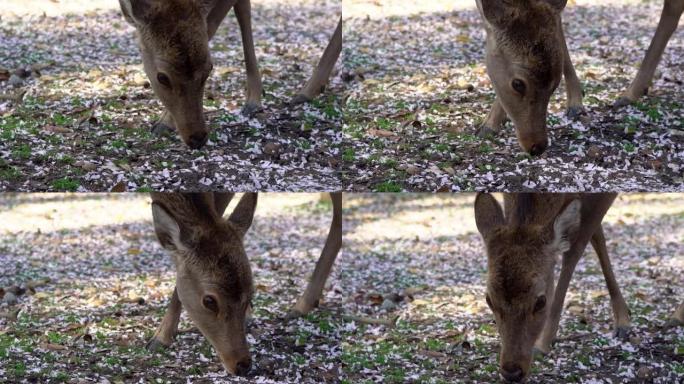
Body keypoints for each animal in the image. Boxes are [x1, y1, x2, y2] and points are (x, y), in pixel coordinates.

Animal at [120, 0, 342, 149]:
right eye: (162, 77)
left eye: (209, 68)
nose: (198, 137)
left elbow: (213, 25)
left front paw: (163, 123)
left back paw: (308, 90)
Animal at [149, 192, 342, 376]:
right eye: (209, 301)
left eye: (251, 295)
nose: (242, 364)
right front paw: (160, 337)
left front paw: (160, 337)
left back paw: (302, 305)